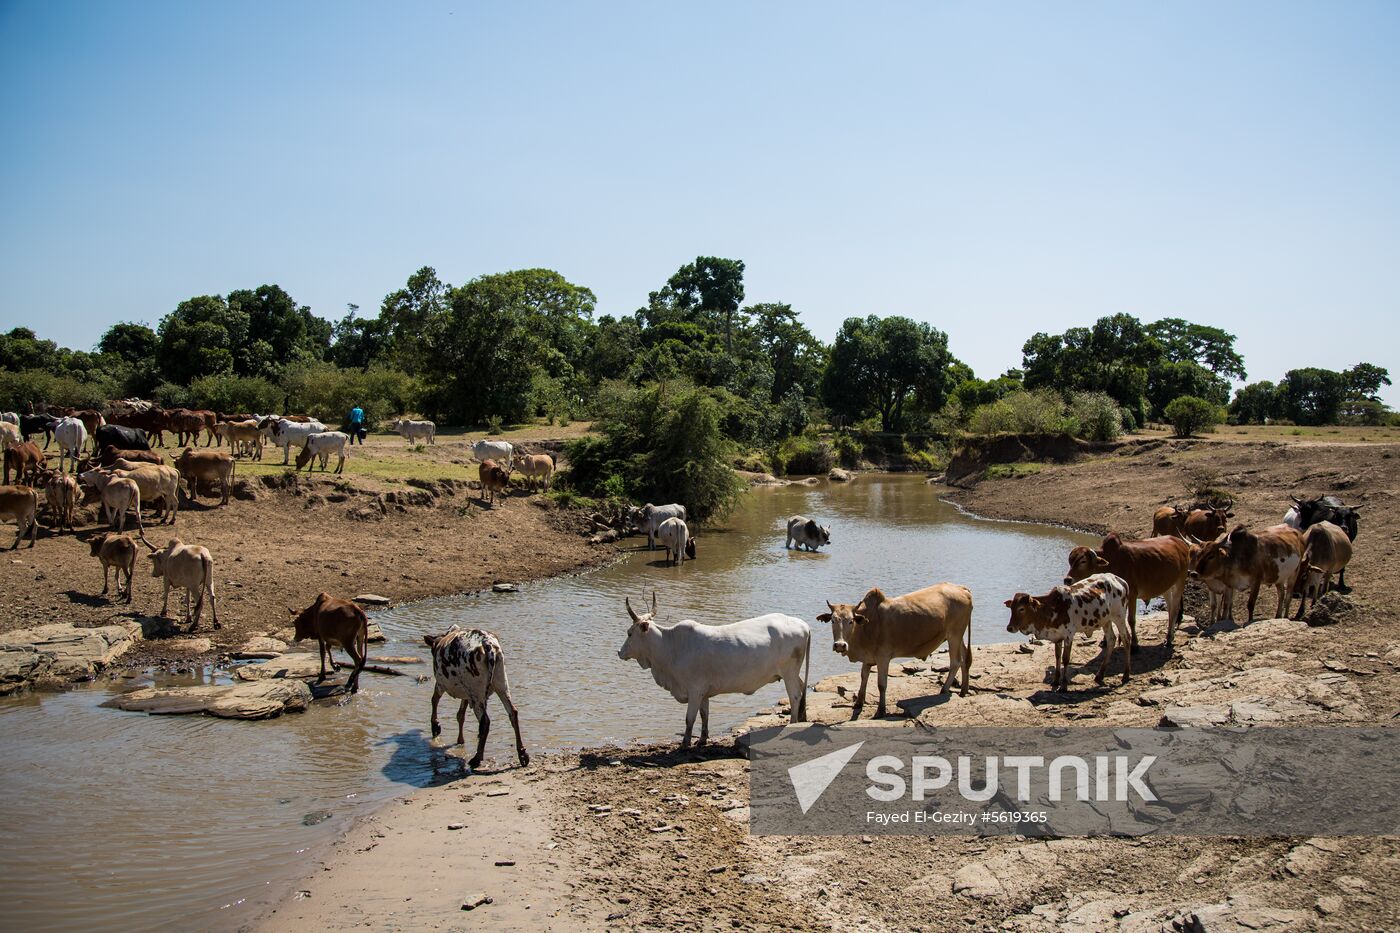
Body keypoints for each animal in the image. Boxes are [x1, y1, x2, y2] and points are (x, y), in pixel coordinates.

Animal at [618, 591, 817, 745]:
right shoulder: (703, 692)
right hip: (794, 673)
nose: (620, 652)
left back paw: (792, 723)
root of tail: (803, 624)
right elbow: (704, 715)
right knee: (802, 688)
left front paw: (685, 744)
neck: (671, 646)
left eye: (629, 633)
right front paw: (702, 739)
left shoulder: (694, 690)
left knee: (794, 695)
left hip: (789, 673)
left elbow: (689, 719)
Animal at [812, 585, 974, 714]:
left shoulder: (883, 657)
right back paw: (963, 690)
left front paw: (880, 711)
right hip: (957, 636)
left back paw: (944, 690)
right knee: (965, 659)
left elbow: (881, 684)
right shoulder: (868, 658)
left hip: (954, 635)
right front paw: (858, 703)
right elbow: (864, 677)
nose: (840, 645)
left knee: (955, 662)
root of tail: (961, 588)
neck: (866, 626)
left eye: (851, 621)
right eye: (833, 620)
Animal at [1002, 571, 1131, 686]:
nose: (1010, 627)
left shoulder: (1069, 635)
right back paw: (1100, 675)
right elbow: (1057, 656)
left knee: (1126, 639)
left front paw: (1063, 684)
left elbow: (1065, 658)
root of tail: (1120, 580)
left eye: (1021, 609)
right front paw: (1055, 680)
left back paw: (1126, 675)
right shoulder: (1057, 636)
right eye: (1011, 608)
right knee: (1111, 640)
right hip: (1106, 620)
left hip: (1119, 617)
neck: (1053, 608)